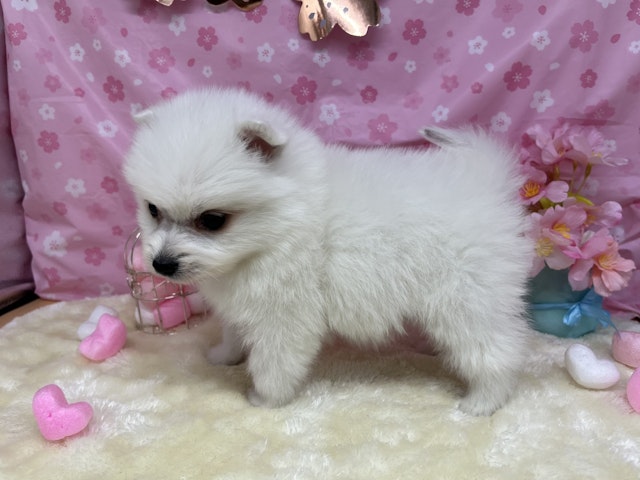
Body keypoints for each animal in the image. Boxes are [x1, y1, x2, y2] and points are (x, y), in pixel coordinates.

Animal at [123, 88, 533, 416]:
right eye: (153, 209)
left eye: (212, 220)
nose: (161, 264)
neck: (285, 221)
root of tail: (484, 181)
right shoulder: (243, 300)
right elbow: (233, 331)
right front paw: (224, 356)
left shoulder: (284, 313)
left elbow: (274, 362)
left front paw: (264, 398)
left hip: (467, 299)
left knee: (495, 351)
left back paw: (482, 401)